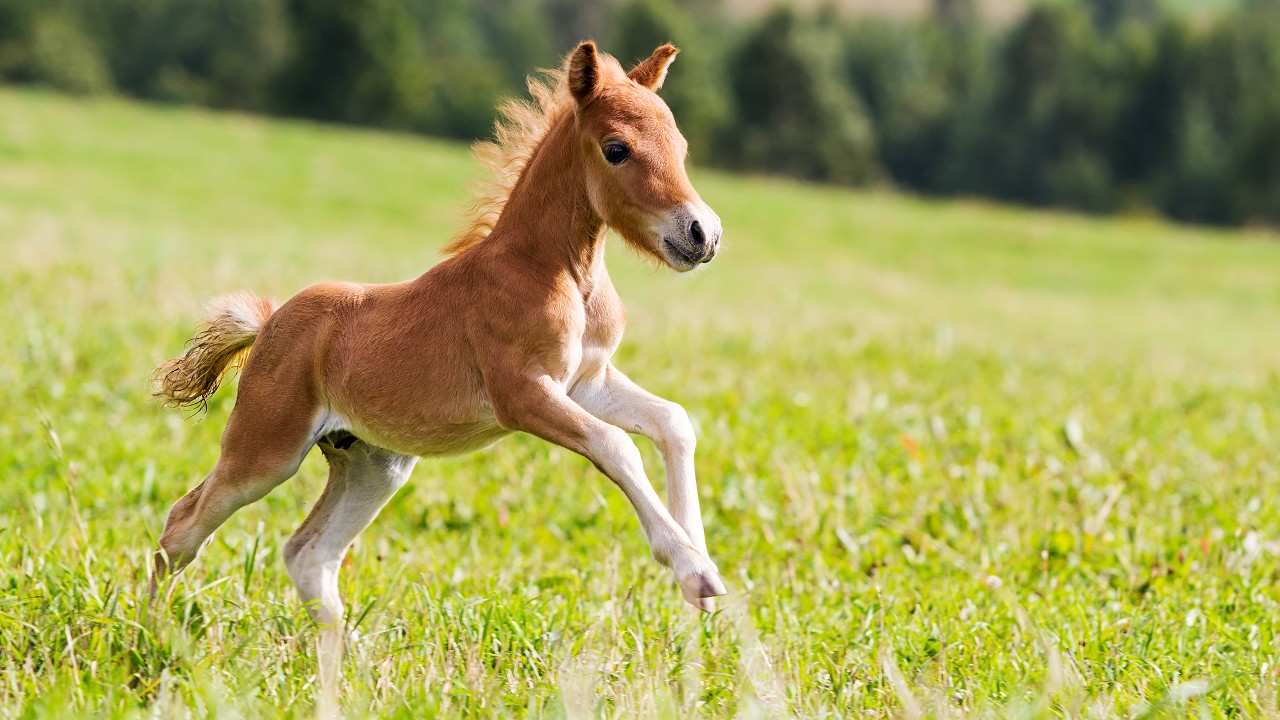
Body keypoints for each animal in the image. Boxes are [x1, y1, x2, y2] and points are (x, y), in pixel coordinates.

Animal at [148, 41, 727, 640]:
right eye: (617, 149)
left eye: (681, 147)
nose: (701, 234)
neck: (561, 273)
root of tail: (267, 326)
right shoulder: (521, 394)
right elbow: (617, 445)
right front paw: (693, 569)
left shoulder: (585, 381)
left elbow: (673, 422)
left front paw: (700, 564)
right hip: (267, 450)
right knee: (182, 525)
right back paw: (152, 635)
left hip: (374, 466)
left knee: (309, 552)